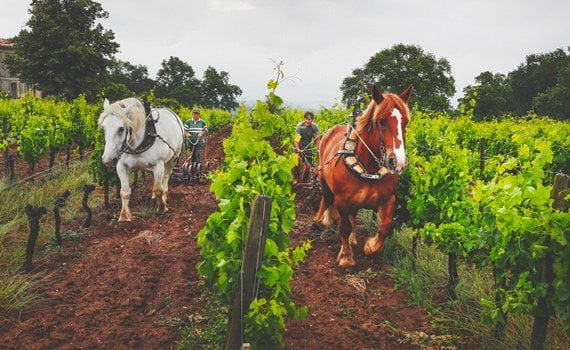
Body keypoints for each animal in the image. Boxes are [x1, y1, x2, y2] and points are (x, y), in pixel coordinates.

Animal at [316, 83, 408, 266]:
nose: (398, 163)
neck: (369, 170)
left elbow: (385, 226)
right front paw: (346, 257)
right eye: (382, 121)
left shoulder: (388, 199)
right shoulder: (342, 201)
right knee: (328, 200)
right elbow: (344, 227)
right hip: (324, 181)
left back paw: (353, 239)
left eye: (406, 122)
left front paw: (370, 247)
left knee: (353, 216)